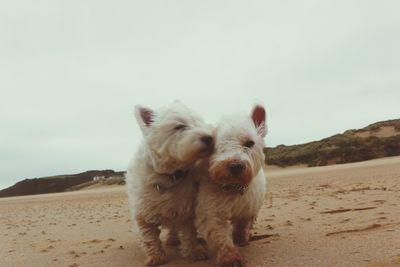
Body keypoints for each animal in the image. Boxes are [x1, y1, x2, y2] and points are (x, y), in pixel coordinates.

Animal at [126, 101, 214, 266]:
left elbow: (189, 234)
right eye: (179, 126)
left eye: (201, 123)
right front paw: (155, 257)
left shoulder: (186, 211)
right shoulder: (143, 215)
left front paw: (194, 252)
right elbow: (150, 238)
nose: (210, 138)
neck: (170, 176)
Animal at [195, 104, 268, 267]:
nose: (235, 166)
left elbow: (241, 226)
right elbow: (221, 236)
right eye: (213, 145)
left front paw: (241, 240)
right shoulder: (213, 211)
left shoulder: (248, 210)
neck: (234, 187)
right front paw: (230, 259)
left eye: (250, 143)